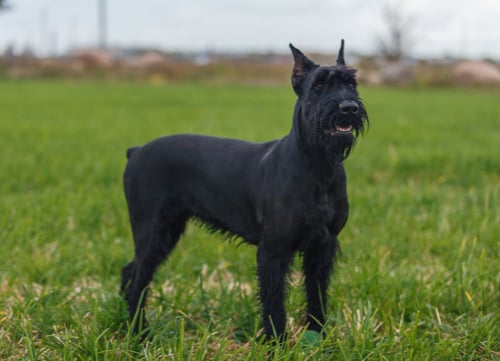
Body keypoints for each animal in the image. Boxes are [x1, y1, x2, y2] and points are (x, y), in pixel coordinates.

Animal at [121, 39, 368, 338]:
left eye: (351, 84)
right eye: (319, 85)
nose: (349, 107)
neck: (318, 168)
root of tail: (136, 151)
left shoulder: (322, 246)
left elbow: (316, 292)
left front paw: (318, 334)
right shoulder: (273, 250)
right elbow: (274, 300)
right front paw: (277, 340)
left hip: (166, 231)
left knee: (129, 272)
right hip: (152, 231)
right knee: (137, 279)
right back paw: (139, 332)